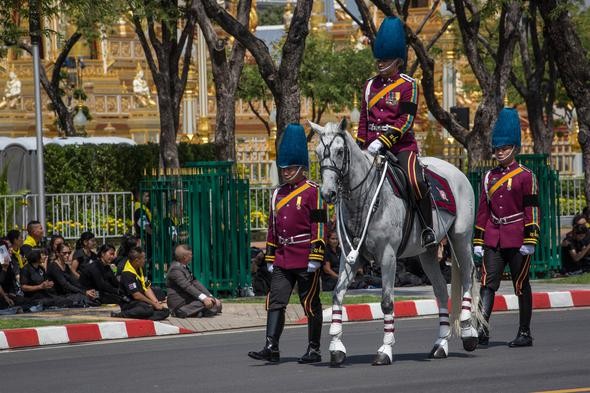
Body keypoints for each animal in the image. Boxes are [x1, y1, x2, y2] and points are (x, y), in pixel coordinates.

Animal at [312, 121, 484, 366]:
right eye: (317, 153)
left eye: (340, 151)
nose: (328, 193)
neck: (364, 199)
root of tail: (456, 170)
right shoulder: (350, 257)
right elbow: (337, 294)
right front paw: (336, 347)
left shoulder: (387, 256)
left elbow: (387, 303)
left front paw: (385, 349)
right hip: (427, 253)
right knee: (442, 290)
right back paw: (440, 344)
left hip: (460, 238)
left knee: (468, 275)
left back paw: (469, 332)